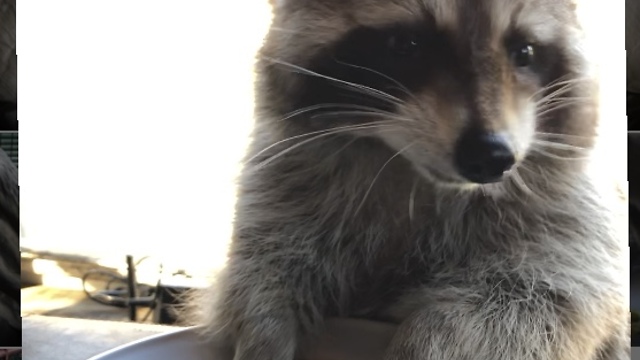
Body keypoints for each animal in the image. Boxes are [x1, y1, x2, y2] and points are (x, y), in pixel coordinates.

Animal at [192, 0, 628, 360]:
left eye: (525, 52)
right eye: (405, 43)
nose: (492, 156)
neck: (414, 172)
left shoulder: (568, 210)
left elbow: (549, 295)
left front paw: (430, 336)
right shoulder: (285, 176)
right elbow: (262, 265)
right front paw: (263, 328)